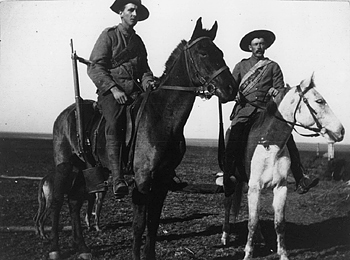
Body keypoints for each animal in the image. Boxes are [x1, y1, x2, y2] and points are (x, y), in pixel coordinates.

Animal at [47, 17, 237, 258]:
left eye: (220, 52)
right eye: (203, 53)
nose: (231, 88)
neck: (162, 117)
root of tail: (66, 113)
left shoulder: (162, 180)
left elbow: (153, 224)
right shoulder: (143, 180)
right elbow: (138, 226)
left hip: (83, 168)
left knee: (73, 202)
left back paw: (82, 247)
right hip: (64, 166)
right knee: (57, 202)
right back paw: (54, 249)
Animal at [221, 75, 344, 260]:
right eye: (320, 101)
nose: (341, 131)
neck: (269, 144)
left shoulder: (280, 187)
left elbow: (279, 223)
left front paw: (283, 254)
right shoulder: (255, 188)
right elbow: (252, 222)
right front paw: (248, 253)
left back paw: (260, 238)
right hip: (232, 181)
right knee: (228, 205)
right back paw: (225, 236)